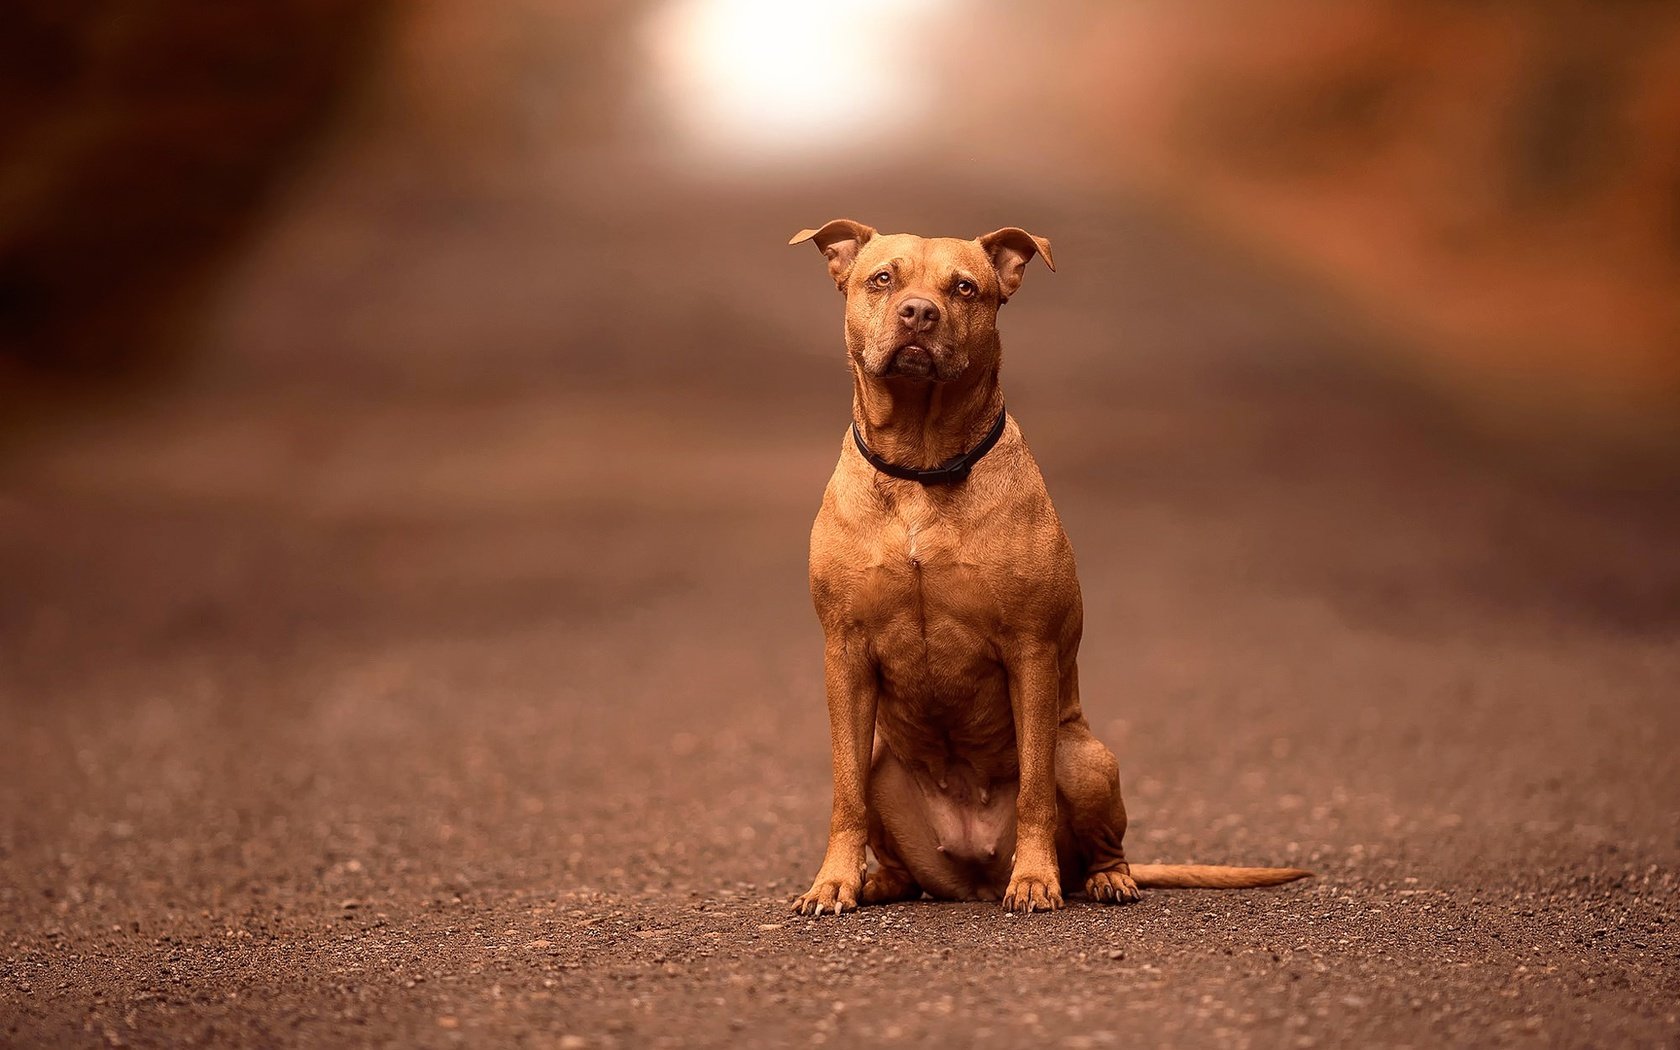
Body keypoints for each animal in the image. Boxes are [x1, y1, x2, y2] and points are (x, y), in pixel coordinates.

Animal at [786, 218, 1310, 907]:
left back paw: (1104, 879)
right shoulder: (845, 655)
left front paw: (1034, 879)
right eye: (882, 279)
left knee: (1095, 840)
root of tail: (975, 869)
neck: (922, 469)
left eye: (965, 288)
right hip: (884, 768)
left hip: (1085, 758)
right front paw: (833, 883)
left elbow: (1034, 787)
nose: (919, 312)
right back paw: (878, 883)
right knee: (898, 856)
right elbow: (842, 792)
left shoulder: (1030, 652)